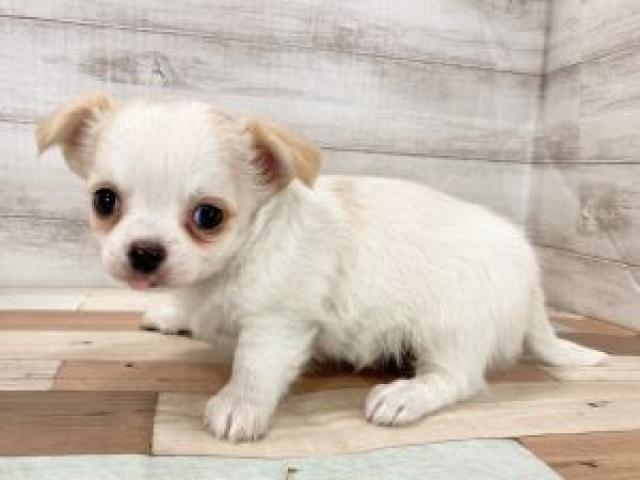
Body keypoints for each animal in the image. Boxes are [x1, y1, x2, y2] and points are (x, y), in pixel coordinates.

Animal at [36, 93, 606, 442]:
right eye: (105, 201)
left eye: (208, 216)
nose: (144, 253)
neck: (241, 257)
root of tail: (529, 273)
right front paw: (171, 314)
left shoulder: (278, 324)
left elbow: (254, 366)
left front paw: (239, 406)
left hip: (452, 327)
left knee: (457, 378)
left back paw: (406, 395)